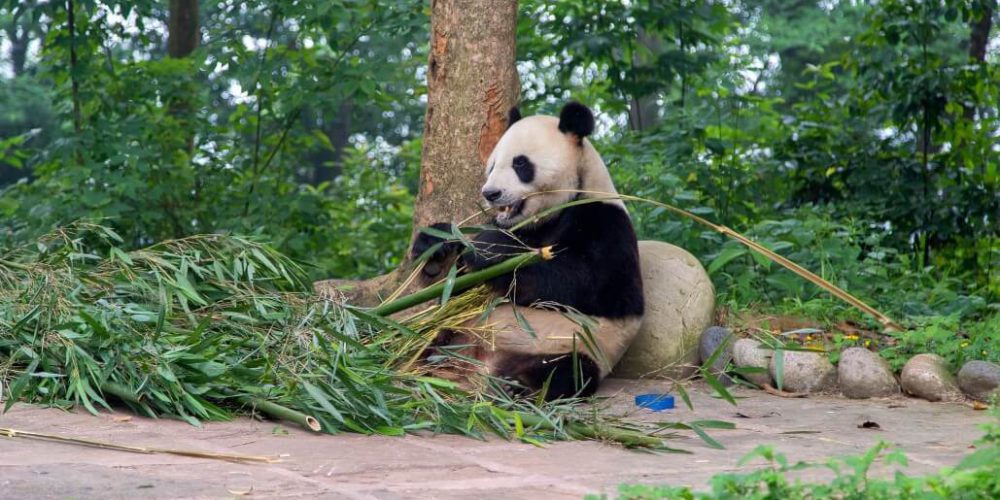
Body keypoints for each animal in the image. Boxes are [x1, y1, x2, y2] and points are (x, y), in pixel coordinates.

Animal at [410, 102, 644, 402]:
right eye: (492, 165)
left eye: (520, 163)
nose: (490, 193)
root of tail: (479, 366)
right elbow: (456, 290)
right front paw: (438, 249)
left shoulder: (606, 223)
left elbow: (596, 287)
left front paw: (490, 251)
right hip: (457, 330)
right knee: (427, 341)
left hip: (571, 346)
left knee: (569, 370)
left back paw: (517, 386)